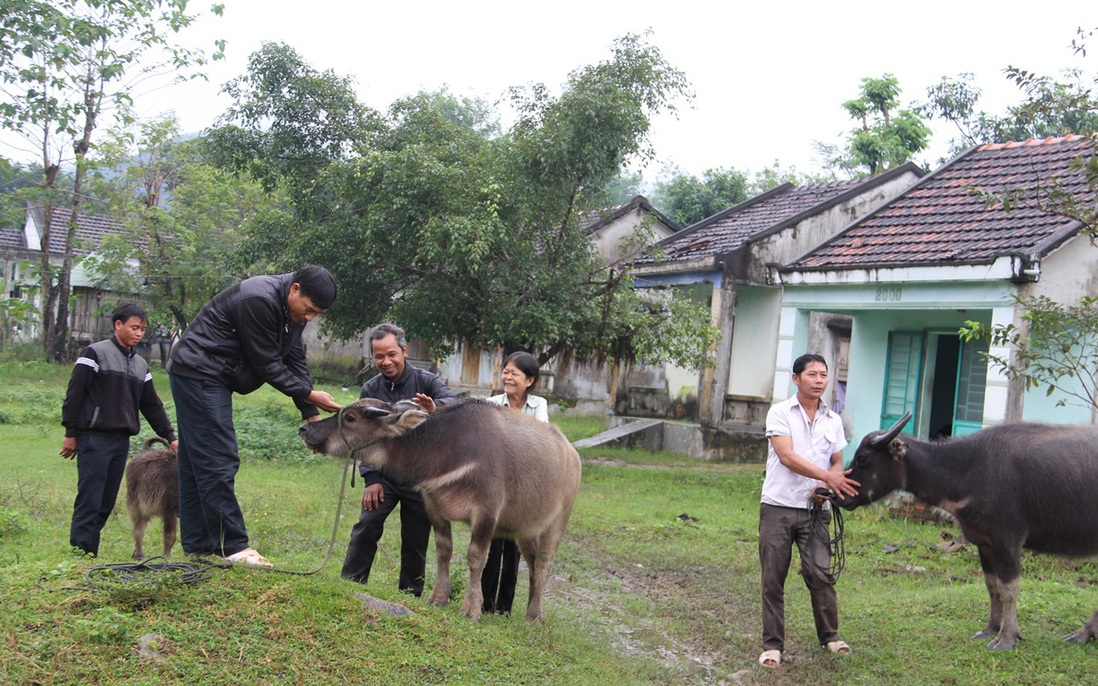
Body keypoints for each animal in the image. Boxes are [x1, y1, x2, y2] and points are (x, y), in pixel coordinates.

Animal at [296, 392, 579, 623]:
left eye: (351, 418)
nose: (304, 428)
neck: (449, 451)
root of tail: (572, 455)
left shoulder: (486, 514)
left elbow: (476, 558)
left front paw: (471, 608)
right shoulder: (433, 506)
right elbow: (443, 551)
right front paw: (438, 597)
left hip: (557, 523)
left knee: (543, 564)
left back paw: (534, 616)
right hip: (526, 530)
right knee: (532, 564)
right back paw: (533, 608)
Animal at [834, 412, 1098, 645]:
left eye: (863, 458)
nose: (837, 496)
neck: (970, 470)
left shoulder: (1008, 541)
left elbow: (1009, 589)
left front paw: (1007, 637)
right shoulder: (984, 542)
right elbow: (992, 586)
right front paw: (990, 629)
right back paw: (1083, 634)